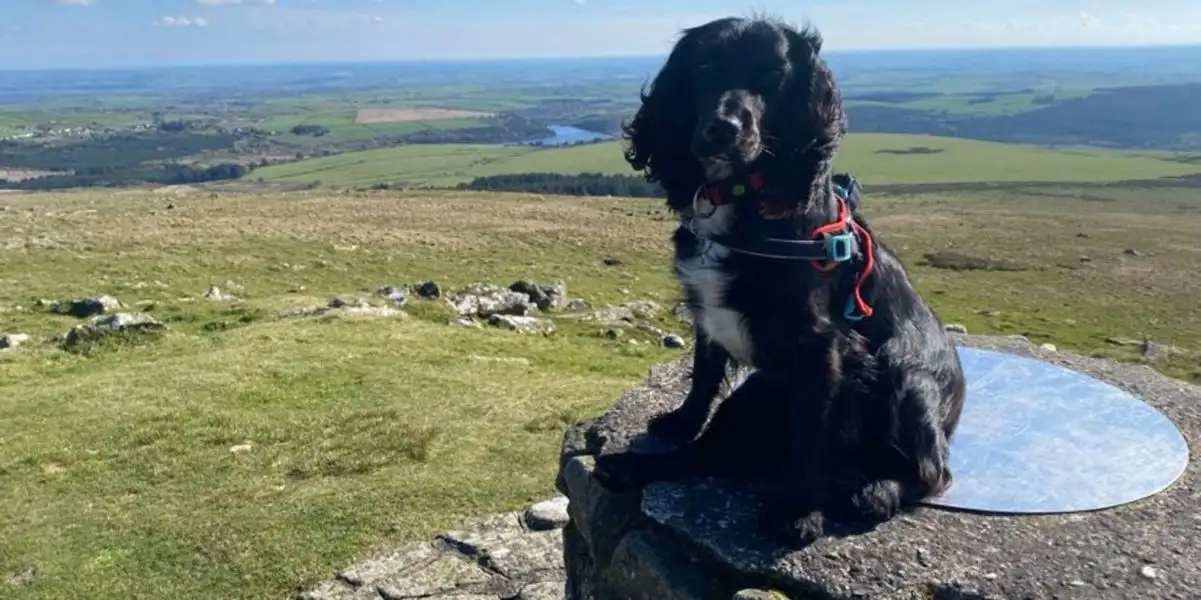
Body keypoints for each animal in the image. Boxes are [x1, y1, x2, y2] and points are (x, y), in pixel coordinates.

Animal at [590, 16, 965, 547]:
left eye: (774, 75)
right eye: (702, 66)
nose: (723, 128)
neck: (738, 199)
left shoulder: (820, 347)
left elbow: (810, 435)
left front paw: (799, 510)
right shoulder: (708, 315)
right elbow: (703, 380)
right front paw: (680, 422)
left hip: (907, 379)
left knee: (932, 471)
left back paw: (876, 491)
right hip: (756, 399)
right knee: (707, 454)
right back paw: (627, 467)